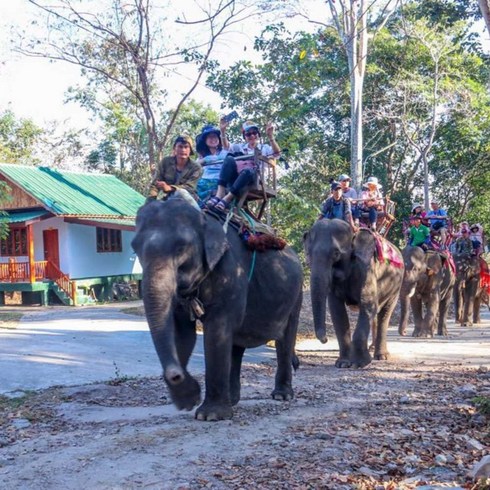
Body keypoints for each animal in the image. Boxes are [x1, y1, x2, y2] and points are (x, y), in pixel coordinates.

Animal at [132, 199, 304, 422]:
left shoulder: (229, 272)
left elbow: (216, 329)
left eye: (181, 248)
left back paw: (281, 396)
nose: (176, 374)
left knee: (285, 339)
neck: (204, 219)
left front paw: (210, 415)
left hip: (296, 294)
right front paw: (188, 400)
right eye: (134, 248)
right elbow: (182, 334)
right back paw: (233, 399)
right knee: (237, 343)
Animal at [304, 218, 404, 368]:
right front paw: (343, 364)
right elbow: (336, 310)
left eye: (336, 254)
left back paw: (381, 356)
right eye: (308, 254)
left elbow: (368, 304)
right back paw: (372, 350)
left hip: (396, 287)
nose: (325, 339)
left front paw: (360, 363)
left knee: (384, 313)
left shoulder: (367, 268)